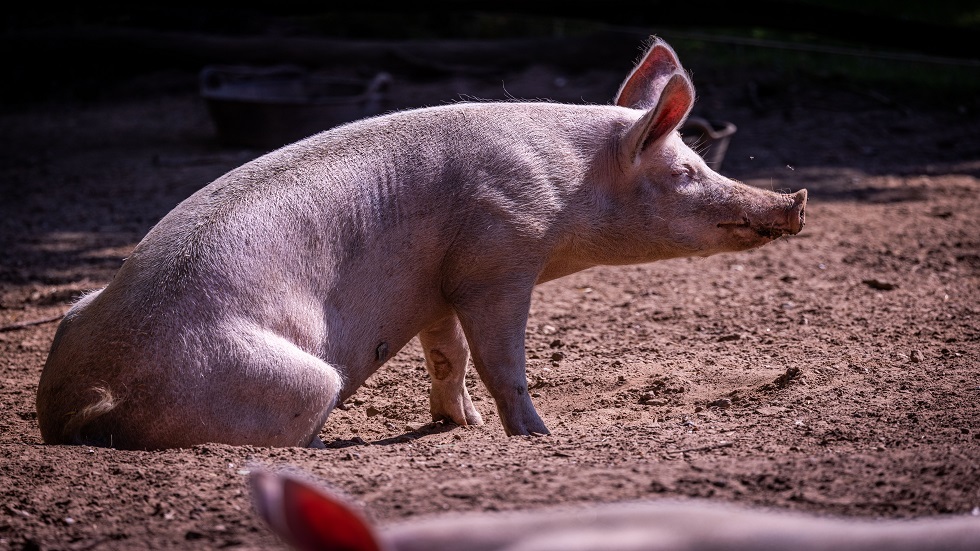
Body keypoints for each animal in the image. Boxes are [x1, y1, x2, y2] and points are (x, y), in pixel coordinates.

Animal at [36, 36, 807, 450]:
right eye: (686, 172)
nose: (794, 203)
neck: (569, 186)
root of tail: (91, 396)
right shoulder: (498, 256)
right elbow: (501, 360)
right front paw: (538, 435)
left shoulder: (437, 281)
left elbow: (448, 355)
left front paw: (459, 424)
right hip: (294, 376)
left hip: (78, 305)